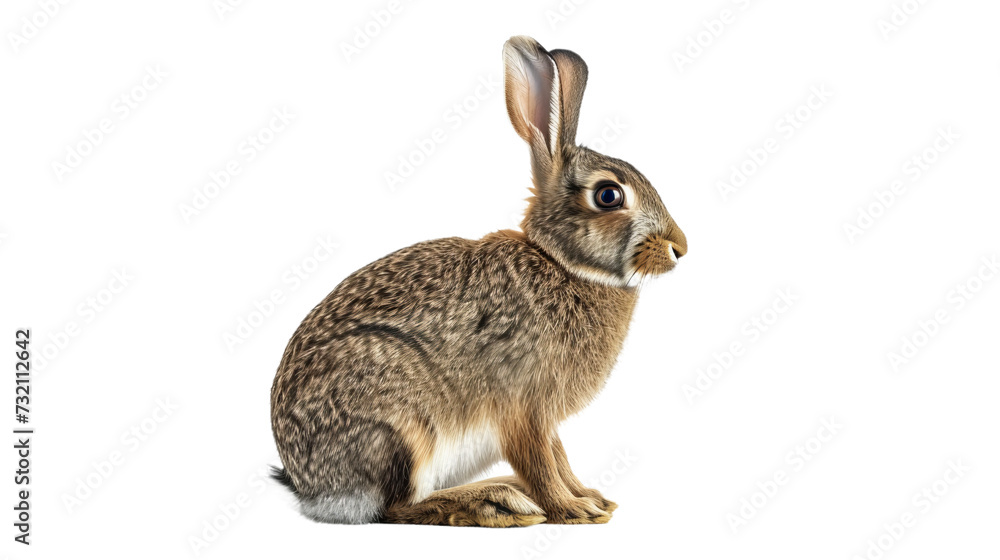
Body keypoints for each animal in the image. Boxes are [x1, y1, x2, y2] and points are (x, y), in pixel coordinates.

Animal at [270, 35, 687, 527]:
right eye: (608, 195)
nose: (680, 247)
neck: (559, 262)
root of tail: (309, 486)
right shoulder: (522, 407)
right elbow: (540, 463)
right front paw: (573, 509)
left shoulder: (545, 420)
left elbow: (558, 456)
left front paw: (592, 498)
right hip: (401, 425)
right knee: (396, 506)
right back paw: (496, 502)